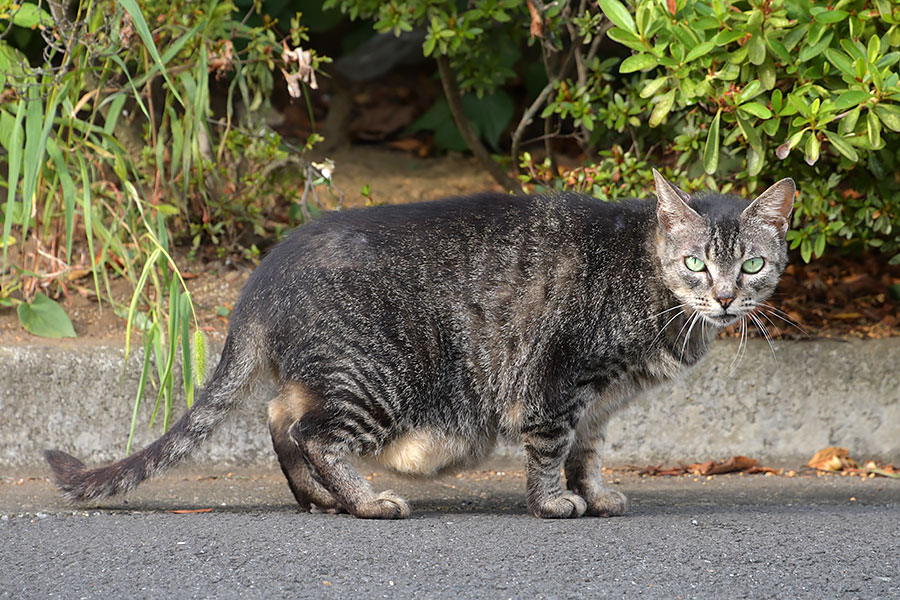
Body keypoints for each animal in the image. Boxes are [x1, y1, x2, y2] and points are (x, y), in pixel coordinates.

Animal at [49, 171, 796, 516]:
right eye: (696, 263)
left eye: (751, 265)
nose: (724, 298)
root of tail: (262, 274)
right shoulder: (558, 384)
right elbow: (551, 452)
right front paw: (553, 502)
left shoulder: (602, 403)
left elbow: (588, 455)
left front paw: (596, 492)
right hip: (377, 381)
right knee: (314, 433)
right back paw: (363, 501)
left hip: (328, 377)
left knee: (280, 417)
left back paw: (318, 498)